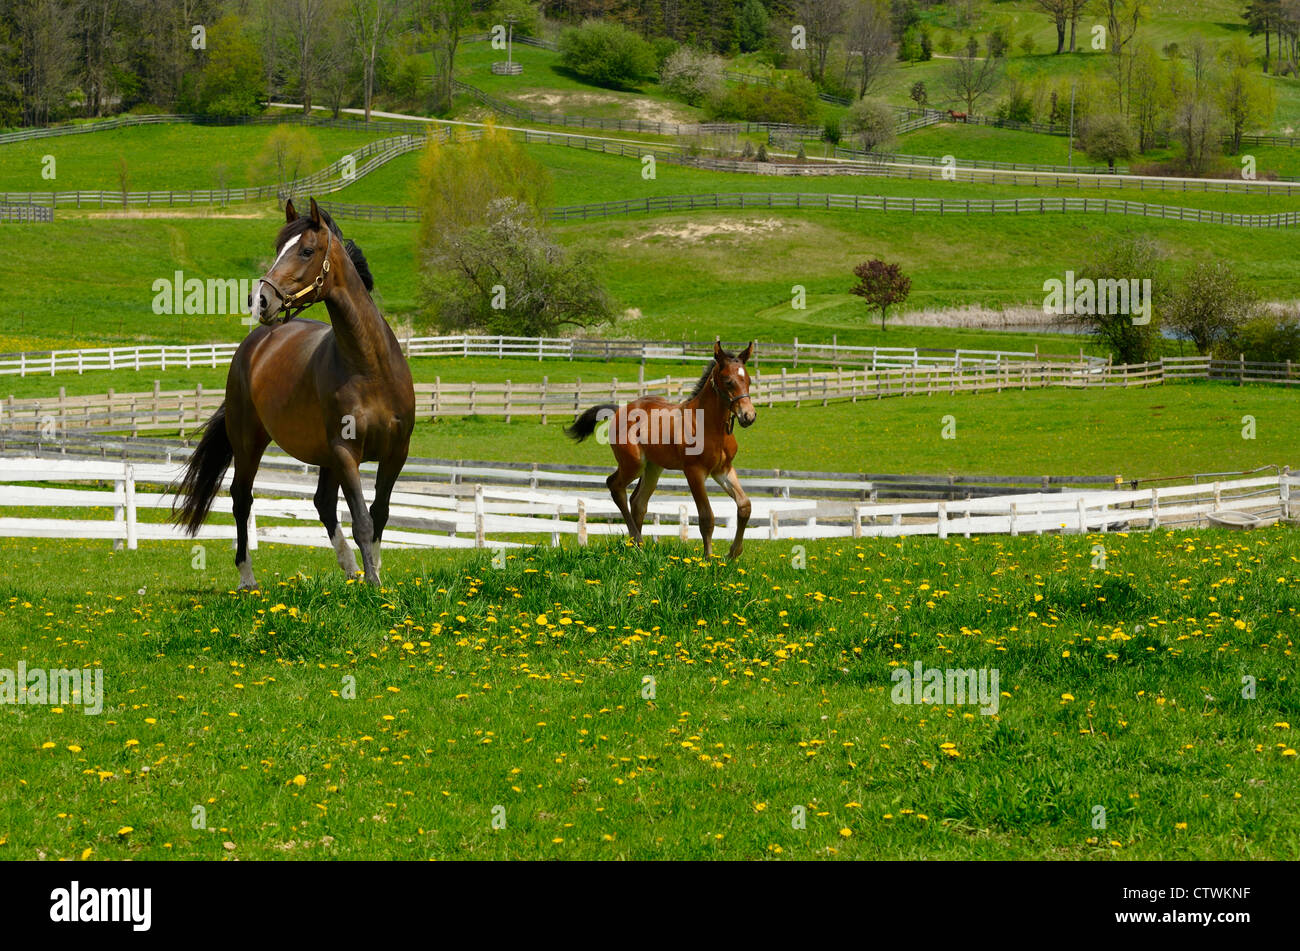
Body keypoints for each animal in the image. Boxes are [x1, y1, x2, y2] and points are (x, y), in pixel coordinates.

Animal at [169, 197, 410, 587]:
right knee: (242, 498)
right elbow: (362, 519)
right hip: (249, 442)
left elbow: (380, 514)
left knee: (323, 503)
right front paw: (374, 587)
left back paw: (351, 570)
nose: (260, 300)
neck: (369, 368)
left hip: (324, 457)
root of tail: (254, 344)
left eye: (306, 250)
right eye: (277, 249)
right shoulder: (346, 452)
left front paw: (375, 575)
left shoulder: (395, 453)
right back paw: (248, 578)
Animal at [564, 342, 759, 561]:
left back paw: (637, 548)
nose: (748, 416)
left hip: (652, 468)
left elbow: (745, 506)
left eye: (749, 380)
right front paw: (708, 559)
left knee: (638, 502)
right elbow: (706, 517)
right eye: (728, 381)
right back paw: (637, 541)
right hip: (633, 464)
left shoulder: (723, 470)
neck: (709, 425)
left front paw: (732, 553)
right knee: (615, 486)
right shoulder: (694, 471)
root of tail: (619, 410)